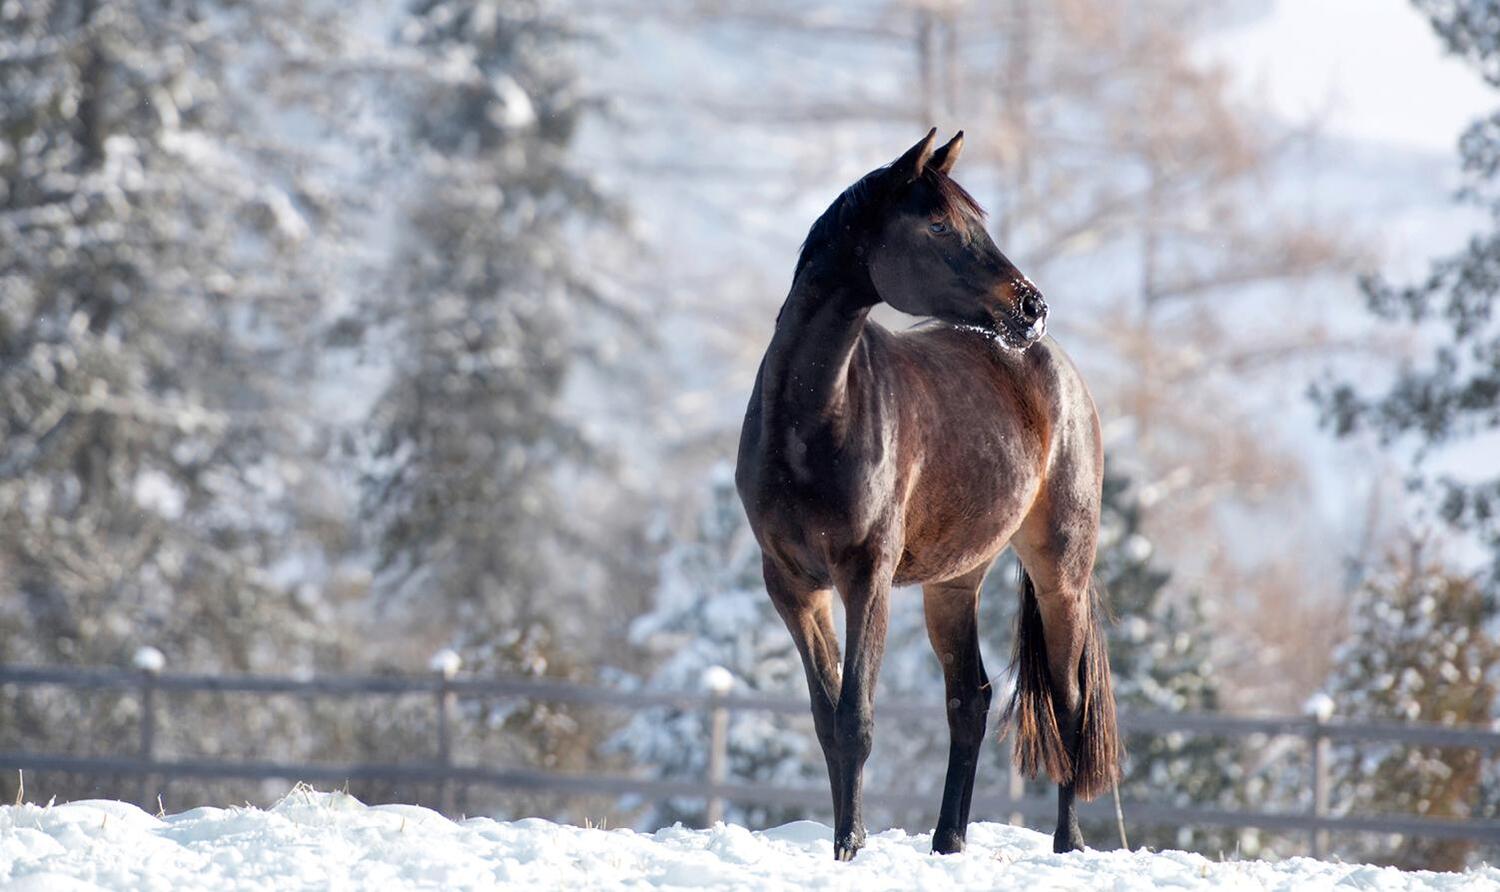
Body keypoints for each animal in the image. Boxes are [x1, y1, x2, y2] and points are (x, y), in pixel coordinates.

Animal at [732, 128, 1122, 863]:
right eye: (939, 225)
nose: (1031, 306)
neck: (811, 419)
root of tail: (1060, 369)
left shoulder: (868, 577)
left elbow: (855, 717)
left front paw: (850, 846)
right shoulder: (793, 587)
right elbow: (827, 718)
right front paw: (844, 843)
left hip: (1061, 574)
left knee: (1069, 701)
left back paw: (1067, 843)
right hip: (953, 584)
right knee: (970, 700)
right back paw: (948, 841)